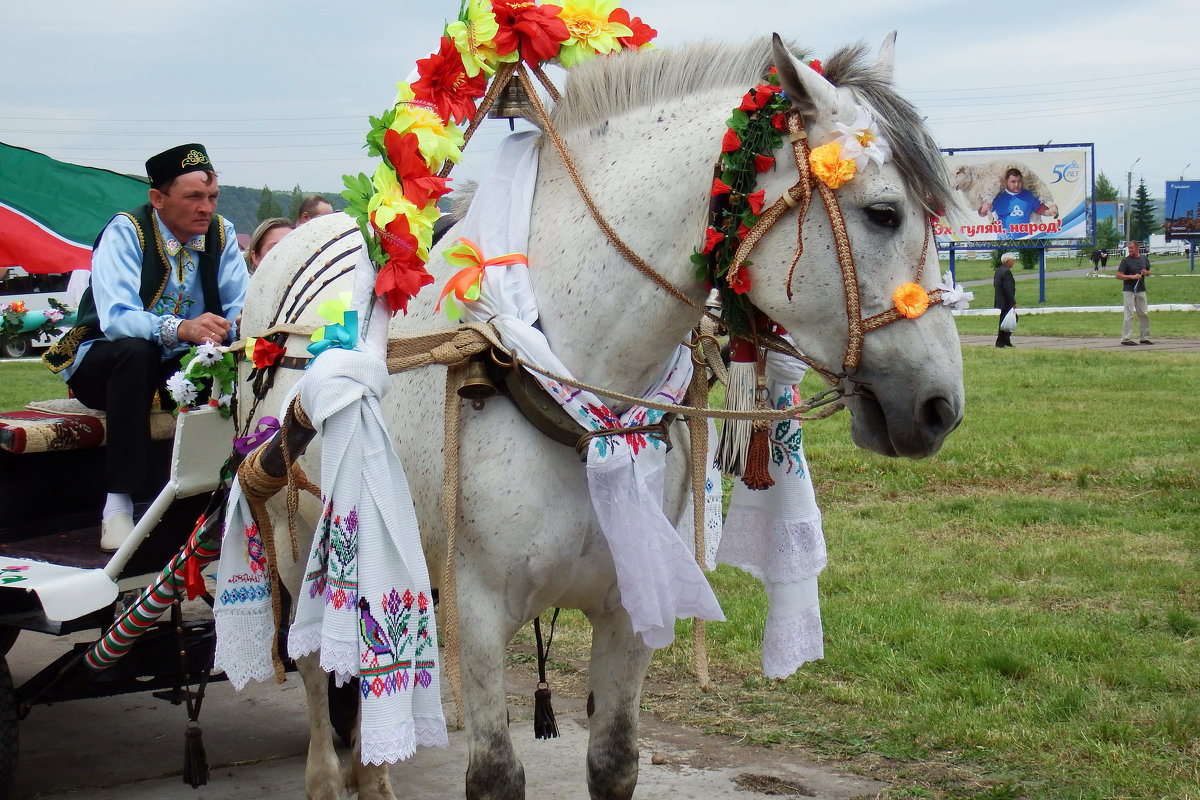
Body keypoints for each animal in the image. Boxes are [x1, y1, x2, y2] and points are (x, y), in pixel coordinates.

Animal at [241, 32, 964, 800]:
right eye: (883, 212)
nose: (941, 407)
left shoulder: (629, 604)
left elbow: (614, 760)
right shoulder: (476, 611)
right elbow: (494, 774)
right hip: (303, 551)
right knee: (319, 676)